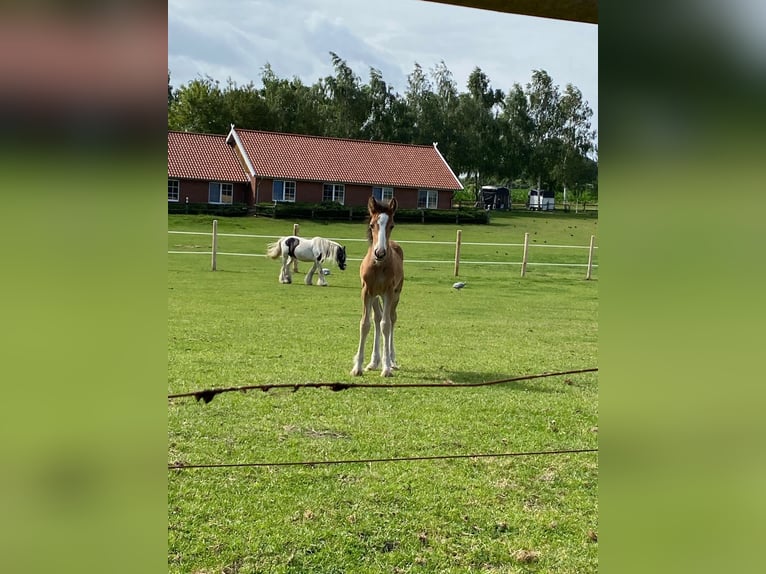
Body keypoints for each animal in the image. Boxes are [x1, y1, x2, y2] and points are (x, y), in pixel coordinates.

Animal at [352, 198, 404, 378]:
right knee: (377, 317)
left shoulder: (388, 292)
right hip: (375, 296)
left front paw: (386, 368)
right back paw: (374, 362)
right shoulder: (366, 292)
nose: (379, 253)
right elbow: (365, 324)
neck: (378, 265)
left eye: (392, 225)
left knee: (391, 318)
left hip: (396, 294)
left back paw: (392, 360)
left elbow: (386, 325)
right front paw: (358, 367)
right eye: (372, 225)